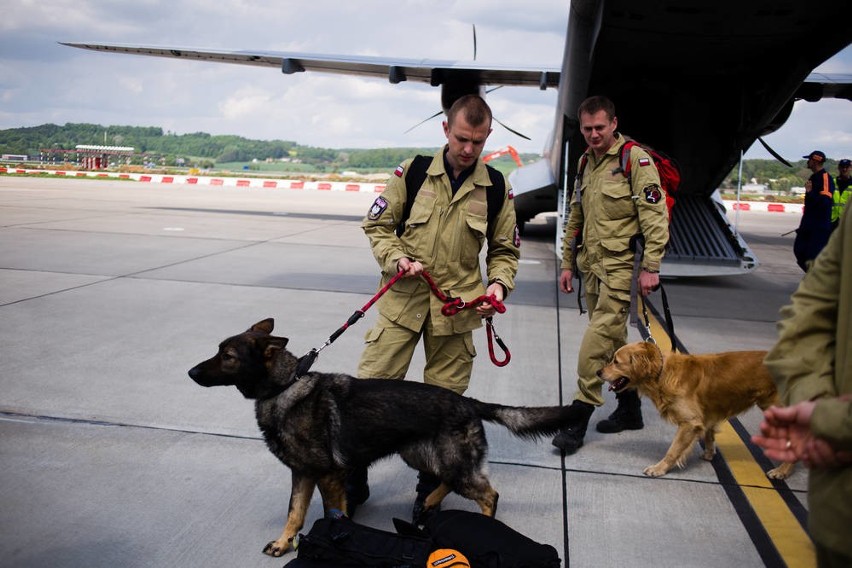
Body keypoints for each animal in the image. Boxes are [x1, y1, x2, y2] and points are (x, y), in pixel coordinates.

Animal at [185, 320, 572, 560]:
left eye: (228, 357)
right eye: (218, 350)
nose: (190, 372)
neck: (284, 387)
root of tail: (469, 402)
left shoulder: (326, 477)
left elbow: (330, 514)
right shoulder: (304, 475)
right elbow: (295, 513)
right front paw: (284, 543)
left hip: (453, 463)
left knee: (488, 494)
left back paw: (481, 519)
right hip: (420, 455)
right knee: (444, 481)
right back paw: (428, 503)